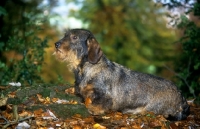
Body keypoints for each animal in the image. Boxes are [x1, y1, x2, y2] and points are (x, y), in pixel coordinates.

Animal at [53, 28, 189, 120]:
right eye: (65, 35)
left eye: (74, 37)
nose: (56, 44)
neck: (85, 69)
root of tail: (182, 97)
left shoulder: (106, 96)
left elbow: (100, 102)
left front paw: (94, 108)